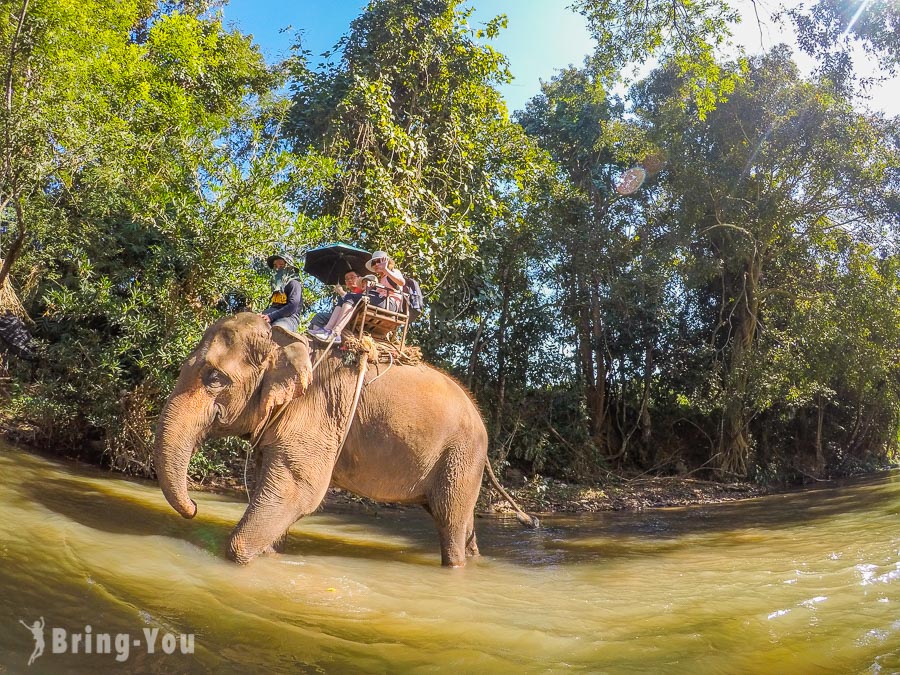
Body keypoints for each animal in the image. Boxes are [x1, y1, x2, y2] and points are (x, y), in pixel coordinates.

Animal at [154, 314, 536, 568]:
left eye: (215, 378)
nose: (195, 507)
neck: (286, 339)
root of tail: (481, 417)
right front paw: (271, 555)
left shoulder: (315, 411)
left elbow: (300, 491)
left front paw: (242, 556)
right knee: (463, 523)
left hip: (461, 455)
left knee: (450, 521)